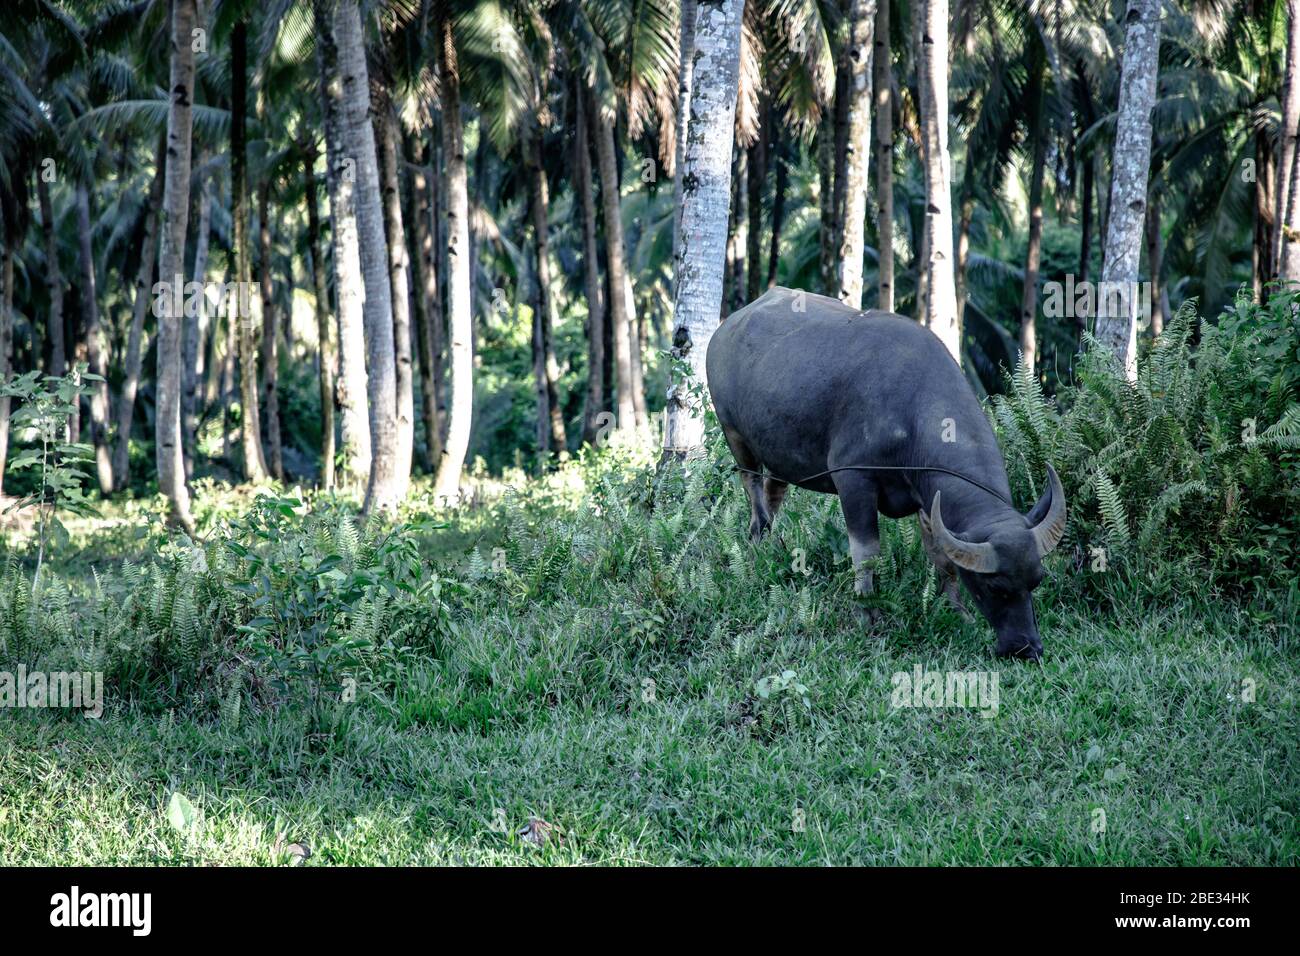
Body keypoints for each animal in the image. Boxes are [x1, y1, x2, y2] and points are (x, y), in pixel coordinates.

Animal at [705, 287, 1067, 661]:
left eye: (1037, 579)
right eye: (994, 586)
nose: (1026, 647)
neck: (910, 412)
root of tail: (727, 328)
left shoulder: (928, 499)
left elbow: (941, 557)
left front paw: (957, 612)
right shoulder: (854, 481)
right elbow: (866, 553)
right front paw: (867, 612)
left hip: (778, 452)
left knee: (772, 491)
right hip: (734, 433)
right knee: (753, 491)